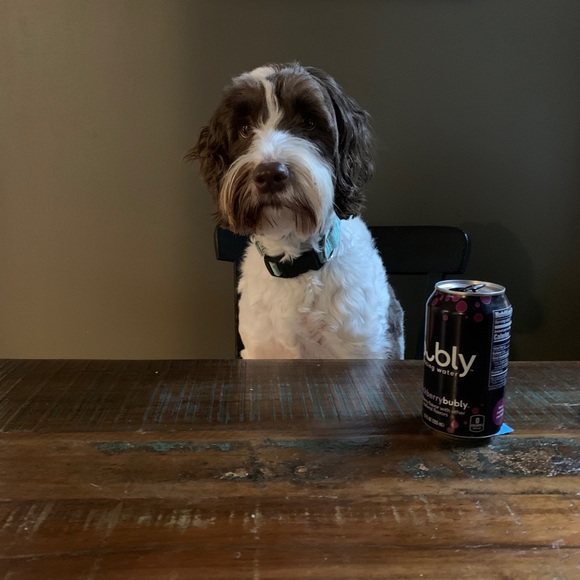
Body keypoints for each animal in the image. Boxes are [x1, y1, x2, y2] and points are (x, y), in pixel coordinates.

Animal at [189, 63, 404, 359]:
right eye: (244, 128)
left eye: (309, 122)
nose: (270, 174)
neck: (297, 263)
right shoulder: (259, 349)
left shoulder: (367, 347)